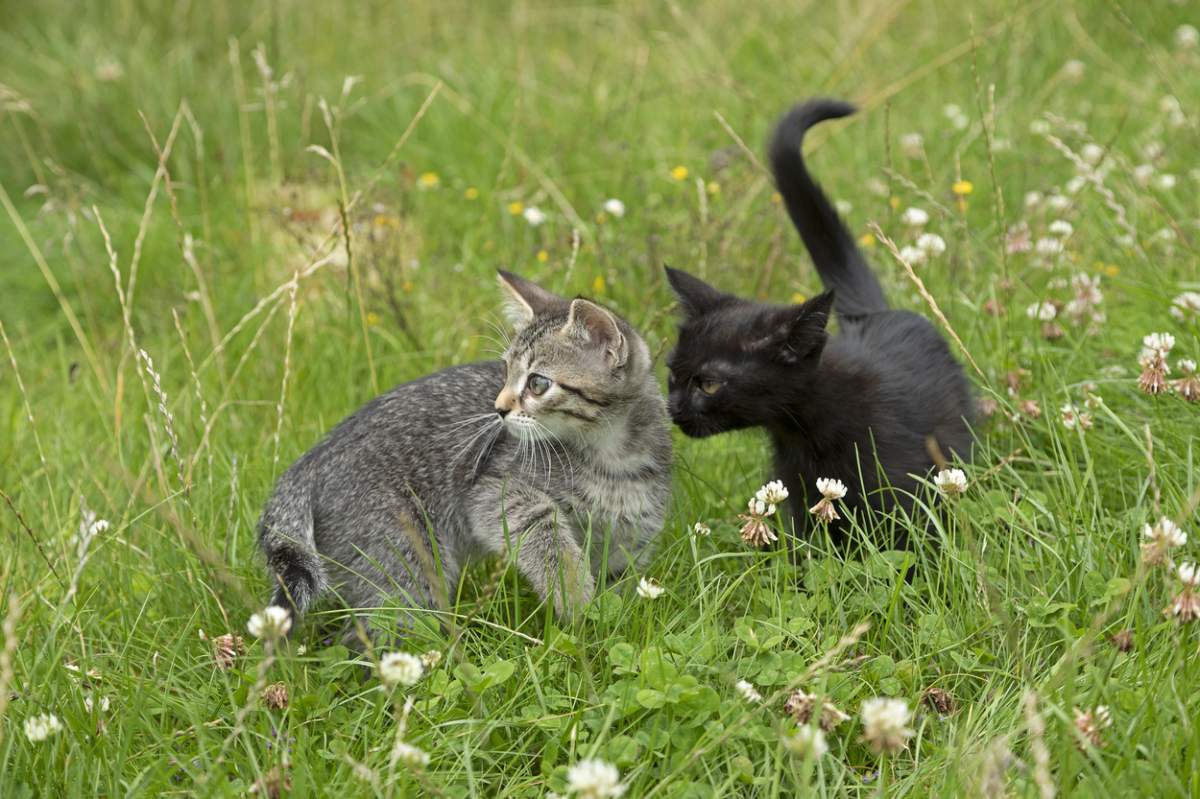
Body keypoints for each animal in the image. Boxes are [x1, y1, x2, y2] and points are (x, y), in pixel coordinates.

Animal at [256, 271, 672, 633]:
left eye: (538, 383)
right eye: (505, 371)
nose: (498, 408)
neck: (613, 458)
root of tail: (310, 461)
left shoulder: (629, 541)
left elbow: (619, 587)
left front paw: (606, 624)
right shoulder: (492, 493)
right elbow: (546, 535)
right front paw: (572, 594)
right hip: (407, 562)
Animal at [667, 97, 974, 542]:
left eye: (708, 384)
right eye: (672, 374)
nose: (672, 407)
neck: (804, 432)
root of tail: (874, 314)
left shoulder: (904, 491)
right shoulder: (799, 494)